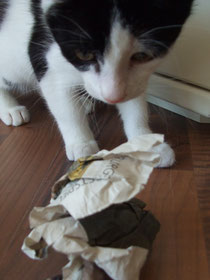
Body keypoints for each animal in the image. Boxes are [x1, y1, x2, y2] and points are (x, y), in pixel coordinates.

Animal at [0, 0, 194, 165]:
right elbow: (65, 108)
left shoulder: (135, 79)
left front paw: (148, 143)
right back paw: (10, 109)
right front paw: (81, 143)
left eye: (142, 56)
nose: (112, 96)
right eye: (84, 54)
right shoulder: (45, 59)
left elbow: (135, 104)